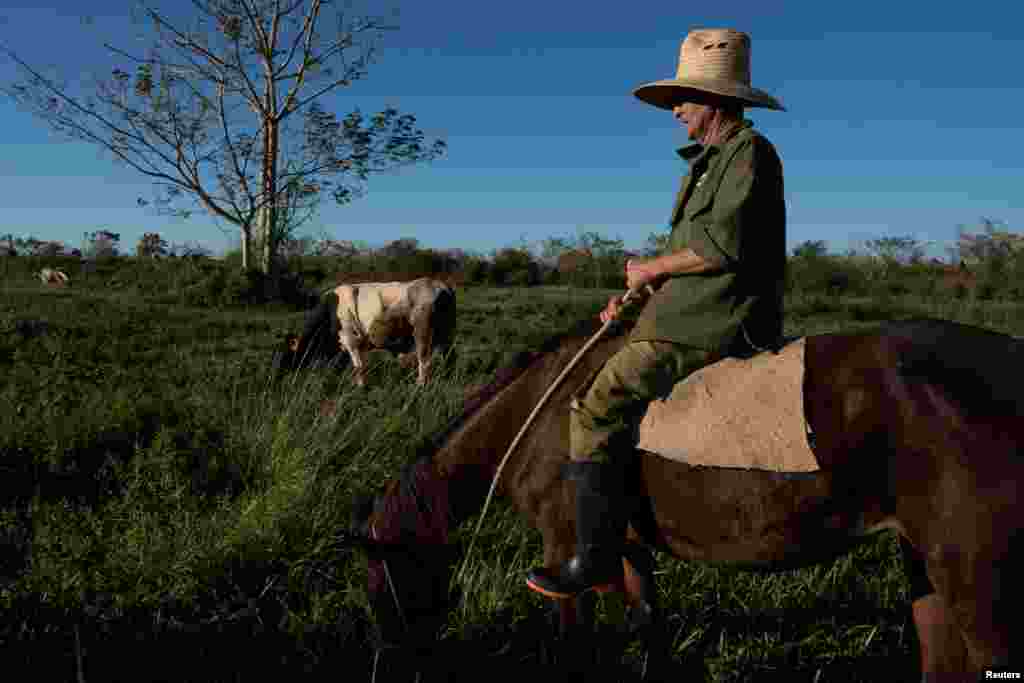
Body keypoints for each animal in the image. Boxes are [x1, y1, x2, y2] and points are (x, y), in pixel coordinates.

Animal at [278, 276, 458, 385]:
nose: (278, 374)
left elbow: (358, 366)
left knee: (424, 360)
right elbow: (350, 366)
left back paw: (420, 385)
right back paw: (448, 379)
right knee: (449, 356)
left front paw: (360, 387)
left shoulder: (350, 340)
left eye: (286, 354)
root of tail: (440, 284)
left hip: (423, 333)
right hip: (447, 334)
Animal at [348, 317, 1019, 679]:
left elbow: (572, 648)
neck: (539, 413)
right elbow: (649, 626)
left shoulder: (565, 552)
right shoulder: (624, 548)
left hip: (974, 578)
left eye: (383, 586)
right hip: (926, 567)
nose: (390, 665)